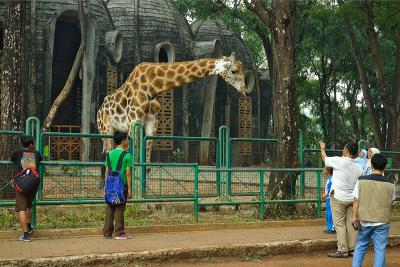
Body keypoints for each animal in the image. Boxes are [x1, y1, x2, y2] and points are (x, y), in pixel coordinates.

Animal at [97, 52, 247, 161]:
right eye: (234, 71)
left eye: (242, 68)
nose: (244, 90)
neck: (152, 85)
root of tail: (99, 110)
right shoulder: (134, 121)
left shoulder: (152, 122)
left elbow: (146, 162)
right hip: (105, 129)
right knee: (107, 153)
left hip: (117, 130)